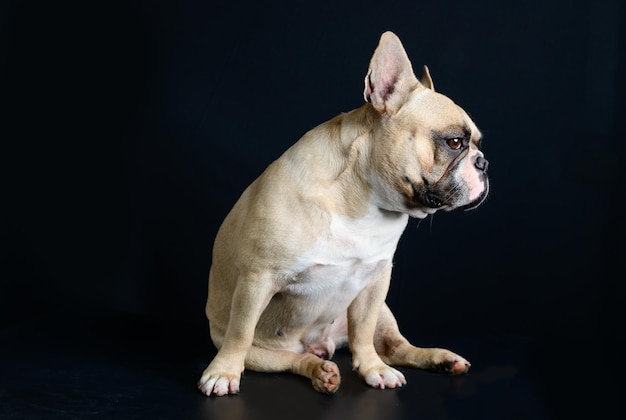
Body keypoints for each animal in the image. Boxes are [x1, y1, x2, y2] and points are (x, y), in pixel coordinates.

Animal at [199, 31, 488, 396]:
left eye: (476, 144)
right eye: (454, 143)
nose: (484, 163)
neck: (361, 199)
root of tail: (322, 344)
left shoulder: (375, 282)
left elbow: (363, 332)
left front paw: (372, 369)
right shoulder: (257, 279)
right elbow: (240, 333)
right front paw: (223, 372)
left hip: (385, 313)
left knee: (395, 346)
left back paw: (439, 358)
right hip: (258, 349)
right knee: (286, 358)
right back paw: (320, 371)